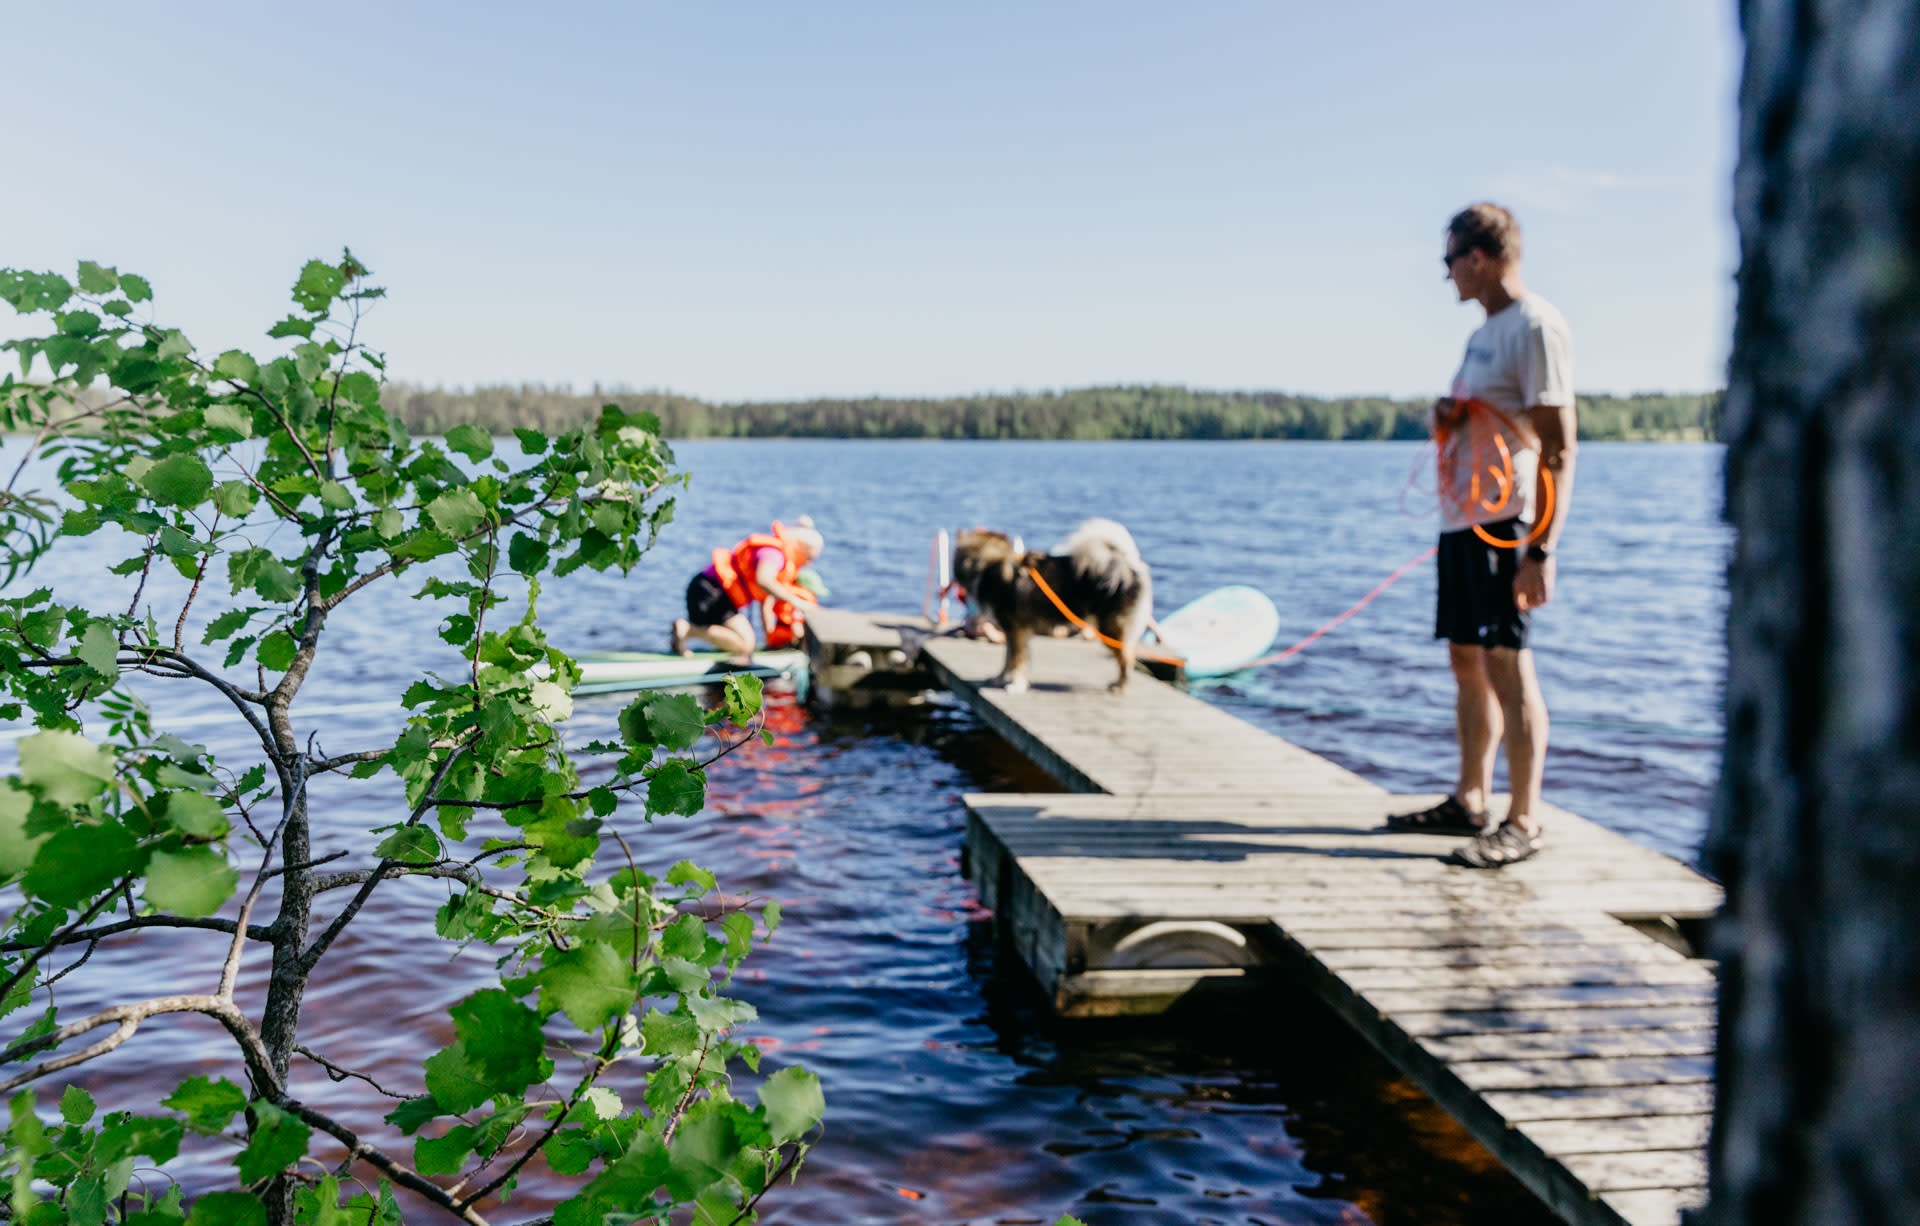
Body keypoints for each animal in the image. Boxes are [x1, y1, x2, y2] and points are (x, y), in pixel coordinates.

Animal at [948, 514, 1144, 690]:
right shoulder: (1013, 630)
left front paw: (1016, 685)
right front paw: (1000, 678)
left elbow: (1017, 659)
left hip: (1109, 628)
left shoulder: (1016, 628)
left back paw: (1119, 686)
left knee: (1126, 658)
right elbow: (1009, 659)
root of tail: (1128, 566)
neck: (989, 563)